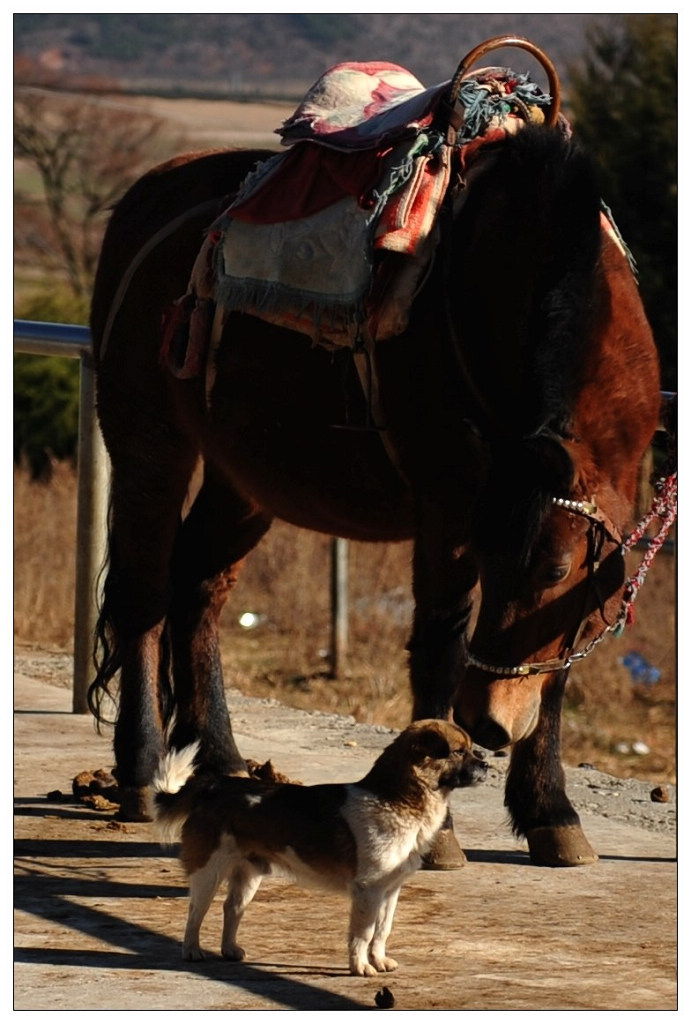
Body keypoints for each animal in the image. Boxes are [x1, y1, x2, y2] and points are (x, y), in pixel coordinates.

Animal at [89, 121, 663, 872]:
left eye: (554, 569)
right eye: (493, 556)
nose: (485, 722)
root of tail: (146, 197)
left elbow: (556, 668)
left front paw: (550, 812)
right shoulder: (449, 509)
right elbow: (440, 645)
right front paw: (440, 829)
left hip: (244, 479)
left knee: (199, 591)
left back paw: (222, 760)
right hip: (148, 442)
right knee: (145, 594)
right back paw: (140, 768)